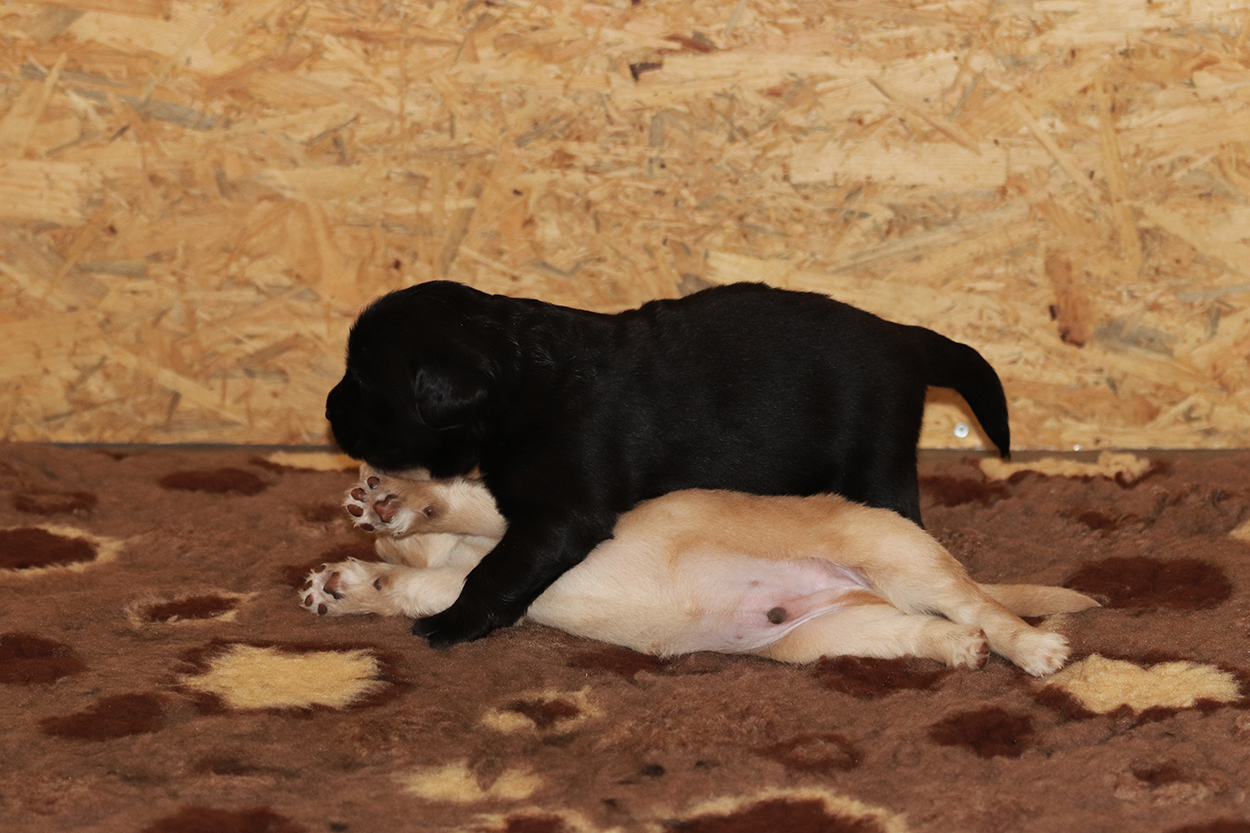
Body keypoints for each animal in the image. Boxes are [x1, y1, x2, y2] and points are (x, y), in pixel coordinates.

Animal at [301, 466, 1097, 676]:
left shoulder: (537, 522)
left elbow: (462, 506)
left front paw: (398, 502)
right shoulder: (460, 582)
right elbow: (419, 588)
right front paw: (344, 587)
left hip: (903, 559)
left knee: (984, 607)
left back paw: (1034, 647)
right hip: (831, 637)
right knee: (921, 631)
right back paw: (958, 650)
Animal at [324, 280, 1011, 646]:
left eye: (362, 380)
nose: (329, 408)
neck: (521, 378)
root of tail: (904, 334)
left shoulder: (565, 513)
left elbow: (494, 570)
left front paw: (452, 621)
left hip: (875, 458)